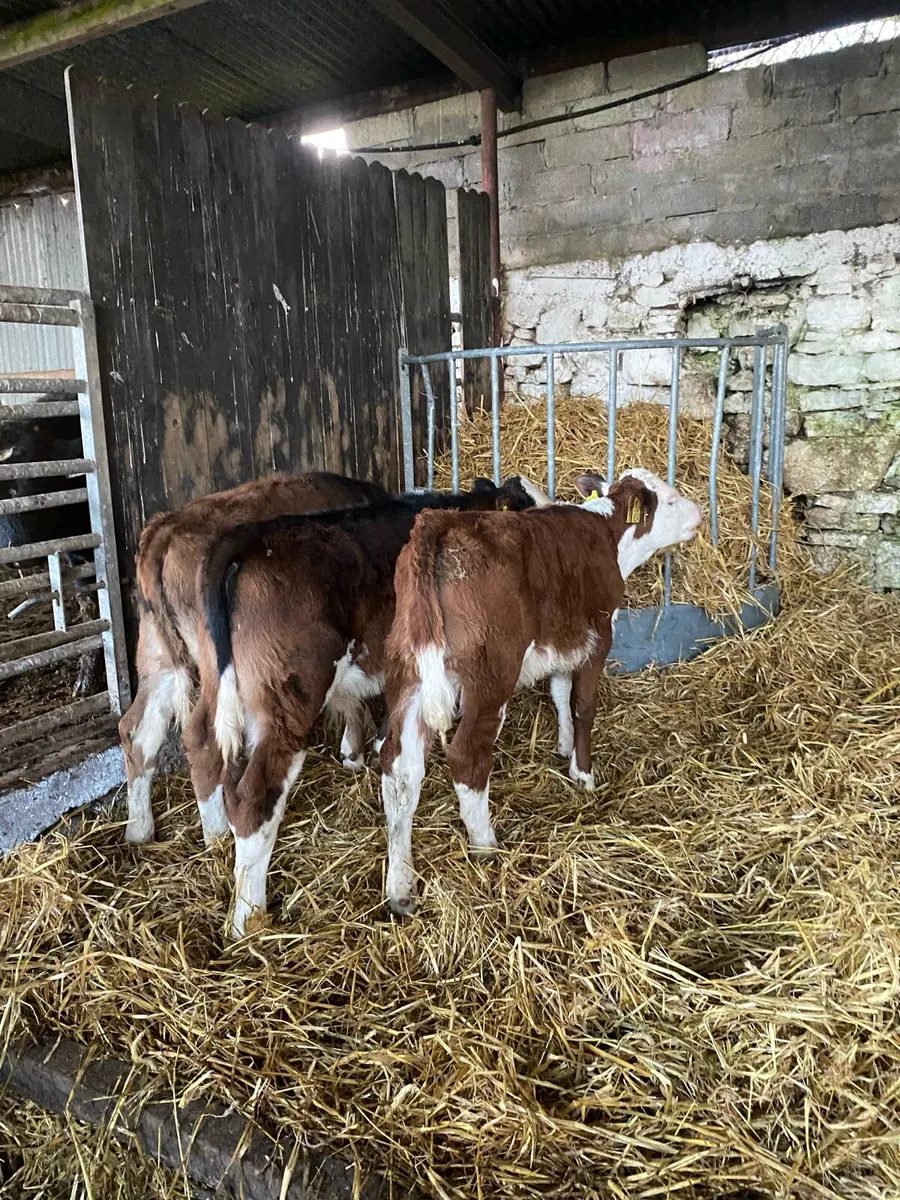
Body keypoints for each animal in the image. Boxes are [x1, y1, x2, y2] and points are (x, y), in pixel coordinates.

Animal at [119, 471, 392, 847]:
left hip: (157, 654)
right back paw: (217, 833)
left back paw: (139, 829)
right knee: (201, 737)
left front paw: (352, 753)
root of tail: (167, 527)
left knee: (137, 730)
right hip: (214, 668)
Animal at [196, 476, 542, 938]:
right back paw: (246, 917)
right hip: (288, 699)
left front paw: (361, 751)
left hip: (225, 694)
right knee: (254, 796)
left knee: (214, 759)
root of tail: (254, 537)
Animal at [379, 468, 703, 916]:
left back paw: (400, 886)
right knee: (467, 757)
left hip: (407, 671)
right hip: (491, 674)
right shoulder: (598, 637)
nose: (700, 512)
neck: (606, 532)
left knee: (399, 769)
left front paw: (564, 747)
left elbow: (559, 691)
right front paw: (583, 775)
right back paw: (486, 846)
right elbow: (583, 705)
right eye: (669, 501)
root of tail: (440, 523)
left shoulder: (564, 640)